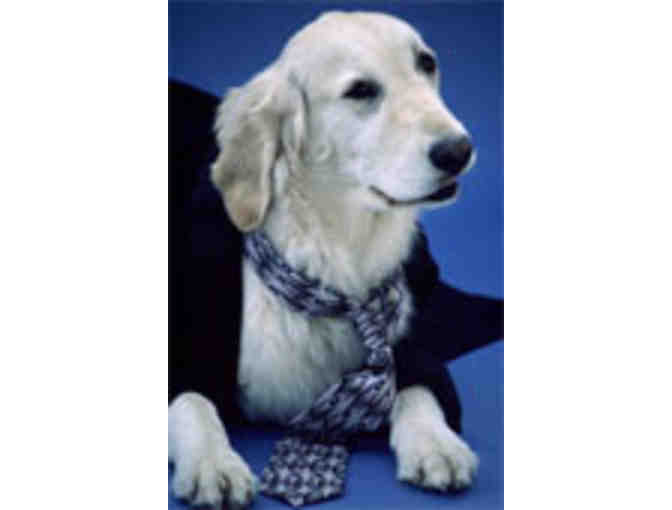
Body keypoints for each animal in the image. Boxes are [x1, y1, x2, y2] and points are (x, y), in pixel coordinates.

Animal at [169, 11, 490, 509]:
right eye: (360, 90)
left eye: (426, 63)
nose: (459, 151)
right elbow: (193, 402)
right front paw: (212, 462)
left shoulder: (417, 346)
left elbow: (414, 389)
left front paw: (434, 443)